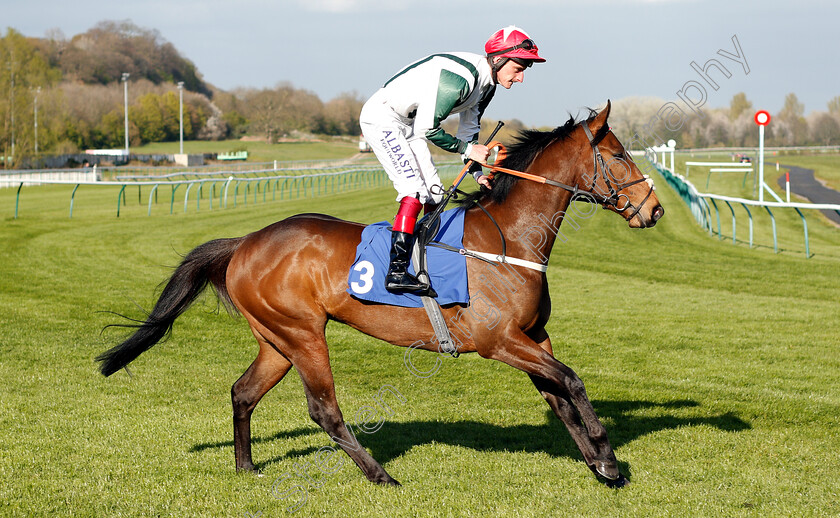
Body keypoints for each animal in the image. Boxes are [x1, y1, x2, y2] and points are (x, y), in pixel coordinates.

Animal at [97, 100, 664, 492]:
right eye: (618, 154)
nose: (654, 209)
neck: (509, 238)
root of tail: (246, 241)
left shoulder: (532, 336)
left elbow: (560, 394)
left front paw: (599, 462)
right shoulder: (498, 341)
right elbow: (572, 380)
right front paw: (608, 456)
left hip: (276, 340)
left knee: (243, 392)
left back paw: (247, 466)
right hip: (303, 335)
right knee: (323, 409)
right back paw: (380, 475)